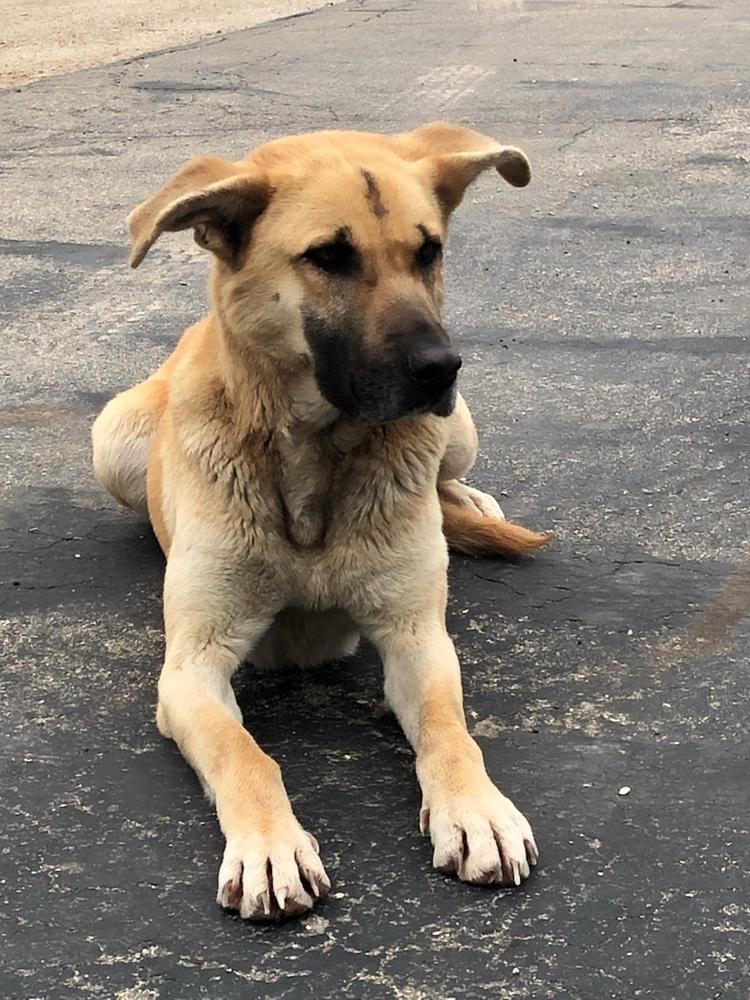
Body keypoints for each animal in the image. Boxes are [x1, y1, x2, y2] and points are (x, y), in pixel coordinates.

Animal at [92, 121, 552, 916]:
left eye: (428, 251)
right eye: (330, 257)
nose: (442, 368)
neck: (313, 459)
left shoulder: (417, 638)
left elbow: (449, 730)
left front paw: (477, 809)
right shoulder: (190, 669)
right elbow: (246, 755)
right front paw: (270, 846)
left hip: (460, 430)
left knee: (448, 475)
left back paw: (466, 502)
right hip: (111, 439)